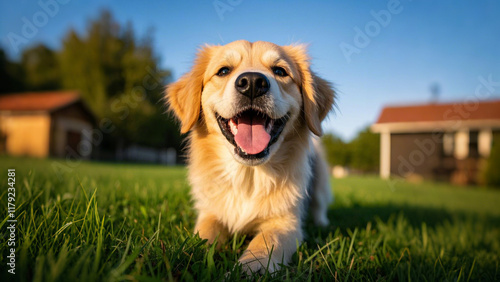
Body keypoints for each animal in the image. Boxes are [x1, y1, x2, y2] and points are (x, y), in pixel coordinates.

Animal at [166, 39, 334, 274]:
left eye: (280, 71)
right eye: (223, 71)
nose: (253, 83)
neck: (249, 175)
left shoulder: (286, 223)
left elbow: (264, 243)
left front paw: (247, 270)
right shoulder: (210, 213)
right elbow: (202, 235)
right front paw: (187, 254)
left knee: (319, 204)